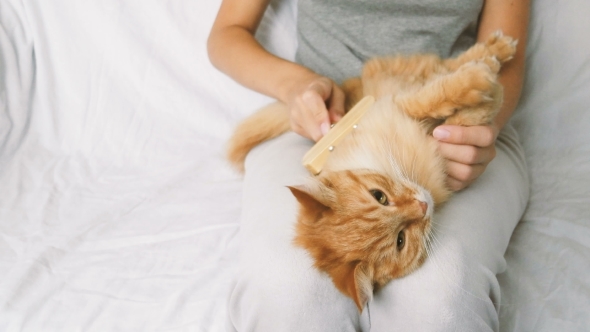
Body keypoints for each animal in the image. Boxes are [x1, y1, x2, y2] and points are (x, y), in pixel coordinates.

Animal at [227, 31, 520, 312]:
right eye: (401, 241)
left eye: (379, 196)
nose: (423, 205)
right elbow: (468, 117)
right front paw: (489, 90)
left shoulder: (397, 104)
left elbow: (438, 96)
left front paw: (480, 81)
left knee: (448, 64)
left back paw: (497, 50)